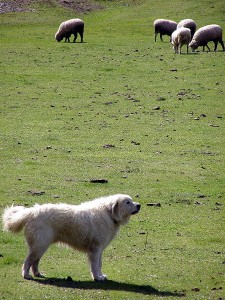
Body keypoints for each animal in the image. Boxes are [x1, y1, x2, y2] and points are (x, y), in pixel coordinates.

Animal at [2, 195, 141, 282]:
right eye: (127, 202)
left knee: (34, 262)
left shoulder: (99, 249)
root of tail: (32, 211)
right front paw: (97, 278)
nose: (139, 205)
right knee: (28, 262)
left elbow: (99, 264)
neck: (109, 213)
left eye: (132, 200)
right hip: (39, 245)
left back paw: (38, 274)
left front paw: (101, 276)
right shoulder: (95, 249)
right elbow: (95, 265)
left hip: (41, 246)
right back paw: (26, 276)